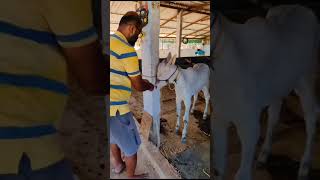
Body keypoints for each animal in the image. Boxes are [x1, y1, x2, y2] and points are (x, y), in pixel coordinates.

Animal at [211, 4, 318, 180]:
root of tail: (299, 7)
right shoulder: (219, 116)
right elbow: (218, 169)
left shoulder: (249, 123)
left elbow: (242, 174)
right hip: (277, 87)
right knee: (274, 116)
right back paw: (263, 155)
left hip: (307, 77)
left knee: (311, 117)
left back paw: (304, 167)